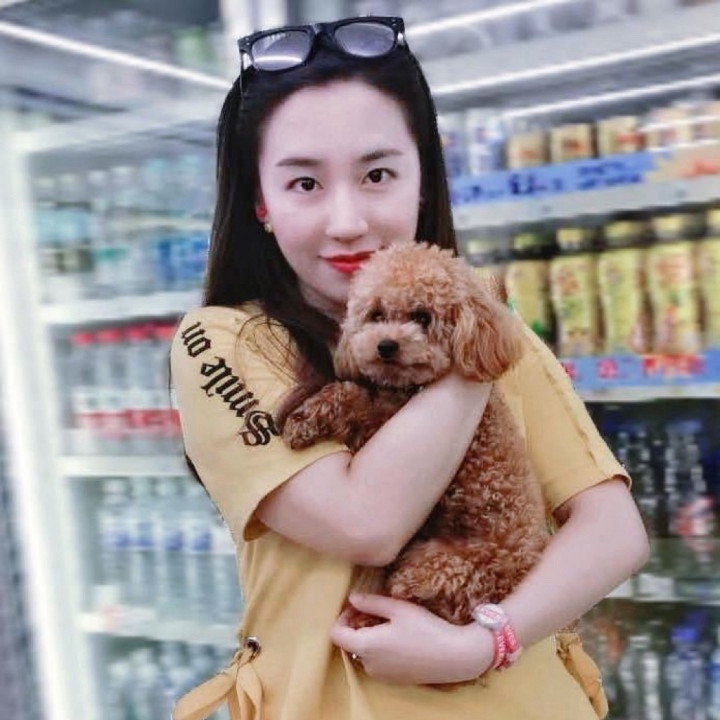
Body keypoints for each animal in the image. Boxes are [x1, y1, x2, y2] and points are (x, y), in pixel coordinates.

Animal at [282, 243, 550, 626]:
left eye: (423, 317)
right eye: (376, 315)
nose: (386, 345)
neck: (411, 389)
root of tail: (516, 578)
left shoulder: (381, 424)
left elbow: (356, 399)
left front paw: (306, 419)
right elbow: (351, 391)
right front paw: (306, 415)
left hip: (442, 567)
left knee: (412, 597)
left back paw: (366, 616)